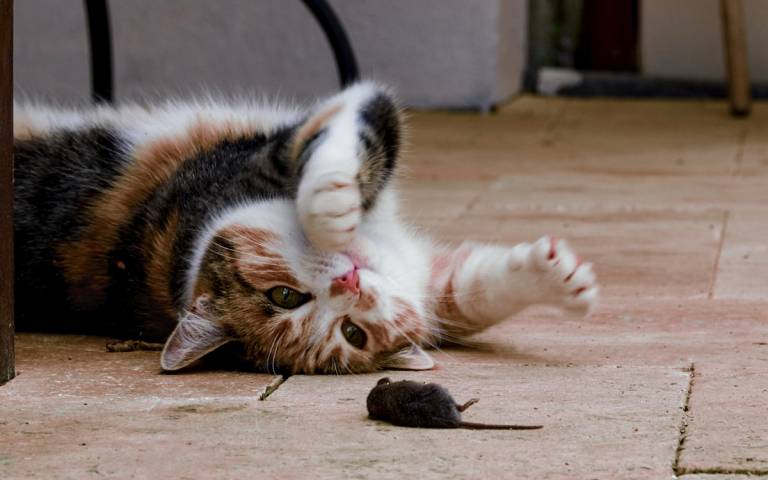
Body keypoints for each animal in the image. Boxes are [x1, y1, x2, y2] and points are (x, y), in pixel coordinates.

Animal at [13, 82, 600, 374]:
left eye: (352, 331)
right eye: (285, 296)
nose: (350, 284)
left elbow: (472, 292)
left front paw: (560, 278)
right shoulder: (275, 149)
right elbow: (354, 125)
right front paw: (333, 206)